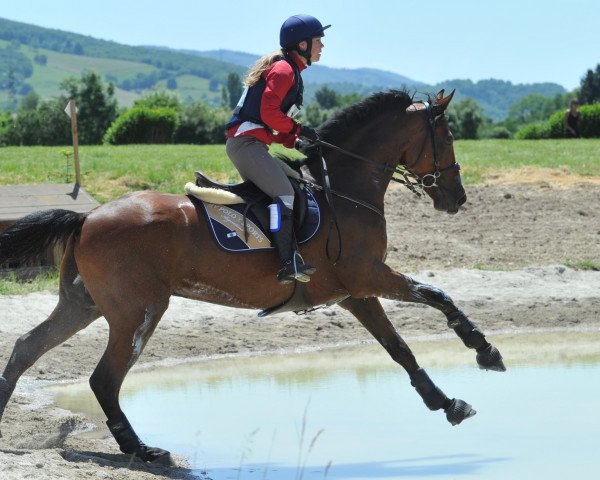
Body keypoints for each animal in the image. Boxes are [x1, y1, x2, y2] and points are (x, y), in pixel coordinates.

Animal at [0, 89, 506, 462]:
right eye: (447, 137)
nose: (457, 198)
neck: (345, 188)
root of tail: (86, 218)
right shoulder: (367, 277)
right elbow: (436, 294)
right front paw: (485, 351)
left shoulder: (354, 293)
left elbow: (399, 348)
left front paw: (447, 402)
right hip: (138, 311)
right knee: (104, 379)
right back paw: (142, 450)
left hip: (84, 305)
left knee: (27, 346)